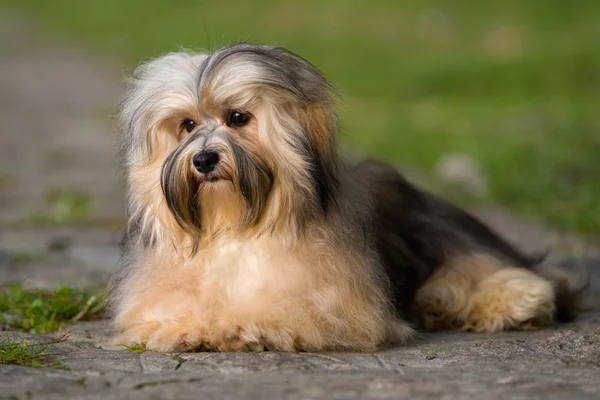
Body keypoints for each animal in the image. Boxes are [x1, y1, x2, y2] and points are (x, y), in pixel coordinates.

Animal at [110, 42, 584, 352]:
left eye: (239, 117)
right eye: (187, 125)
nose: (205, 159)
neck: (235, 225)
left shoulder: (334, 304)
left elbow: (281, 309)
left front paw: (236, 325)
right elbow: (165, 310)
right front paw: (185, 326)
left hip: (442, 235)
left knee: (499, 270)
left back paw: (515, 301)